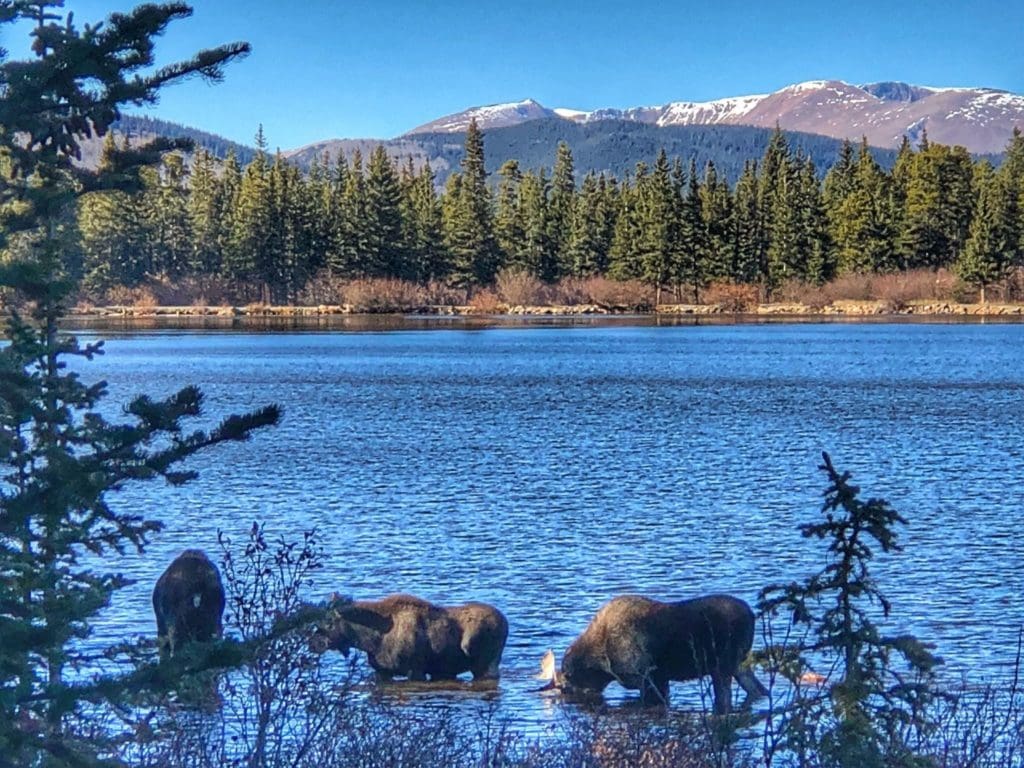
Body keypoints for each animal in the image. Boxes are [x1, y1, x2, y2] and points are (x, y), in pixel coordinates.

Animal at [307, 593, 507, 684]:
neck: (371, 641)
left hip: (486, 665)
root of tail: (506, 622)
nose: (312, 643)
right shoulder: (382, 672)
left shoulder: (415, 670)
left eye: (330, 623)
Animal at [540, 593, 765, 716]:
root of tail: (752, 615)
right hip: (740, 665)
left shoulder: (646, 677)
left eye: (565, 688)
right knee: (758, 690)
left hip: (722, 666)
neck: (602, 662)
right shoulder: (660, 678)